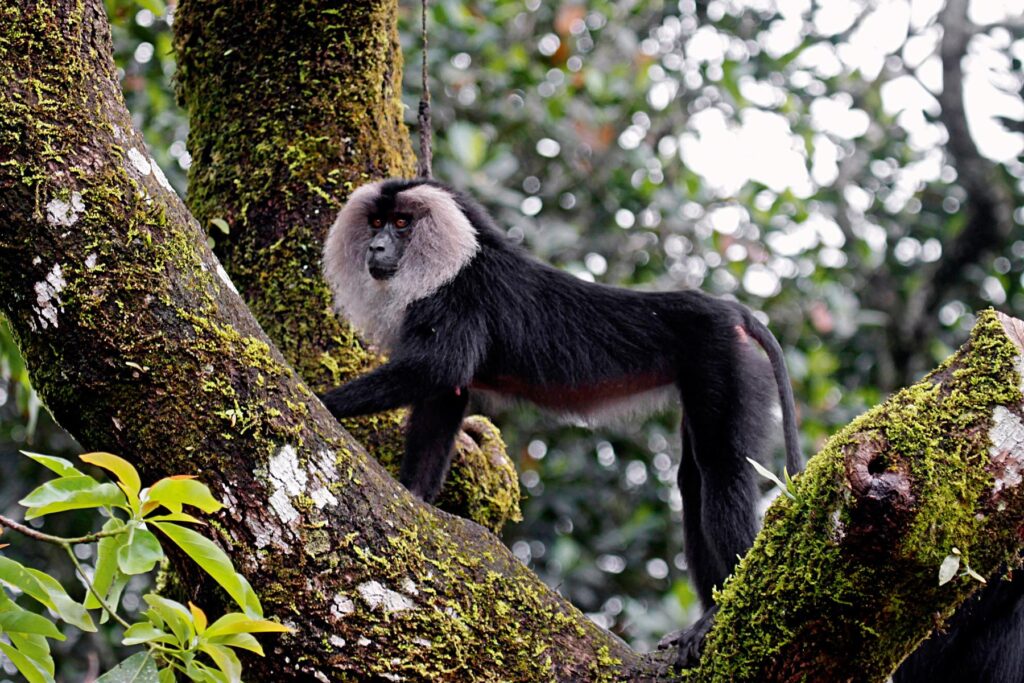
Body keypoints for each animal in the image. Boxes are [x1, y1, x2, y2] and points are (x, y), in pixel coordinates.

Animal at [319, 178, 803, 665]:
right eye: (376, 222)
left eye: (402, 223)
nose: (377, 247)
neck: (461, 256)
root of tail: (733, 314)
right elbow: (446, 395)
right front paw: (414, 495)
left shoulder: (459, 297)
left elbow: (439, 367)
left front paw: (321, 399)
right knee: (693, 480)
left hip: (725, 359)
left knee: (721, 467)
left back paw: (717, 615)